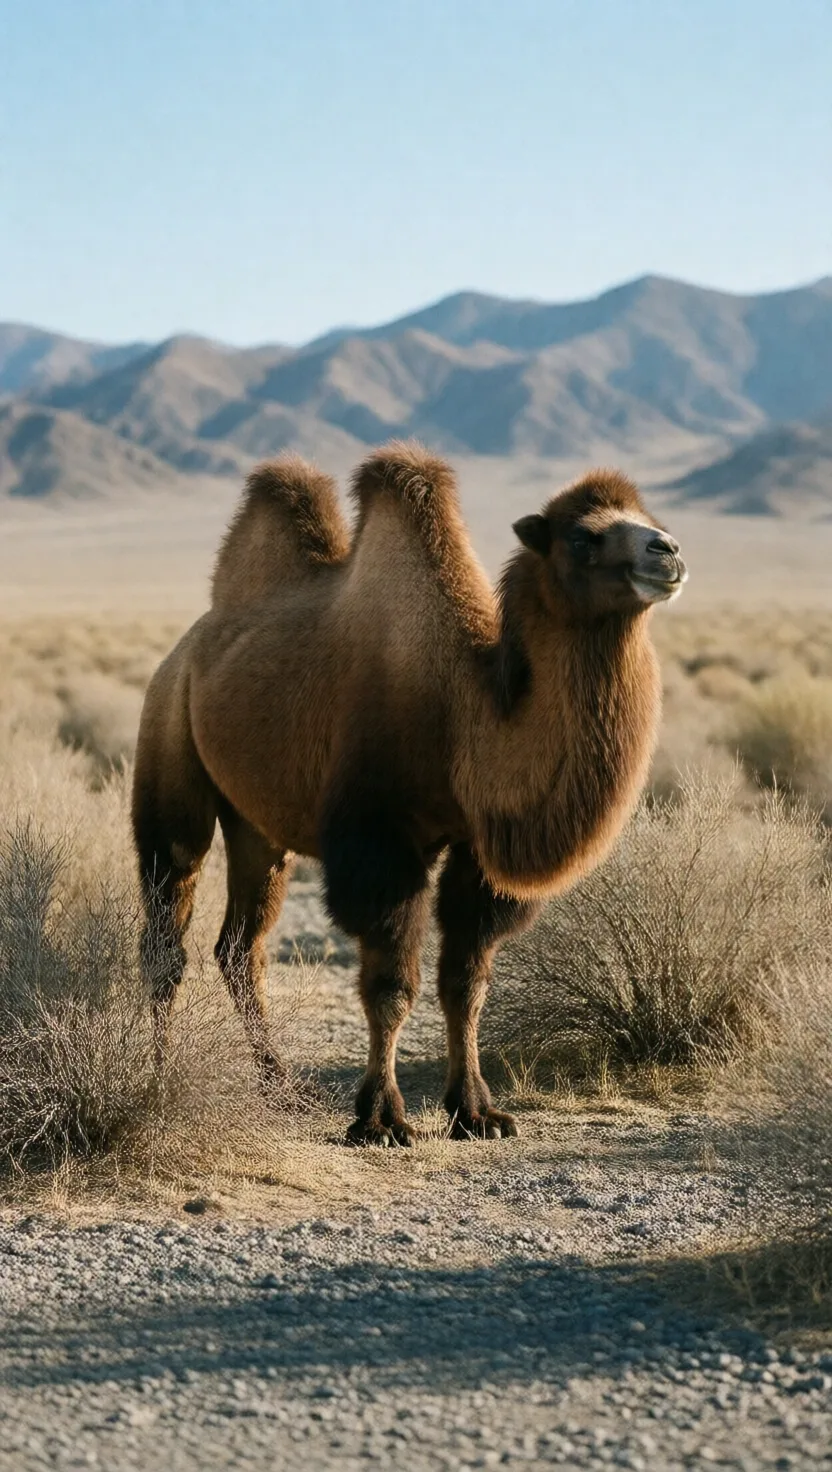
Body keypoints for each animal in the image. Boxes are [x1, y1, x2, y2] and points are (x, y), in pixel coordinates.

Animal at [132, 442, 687, 1144]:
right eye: (584, 537)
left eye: (650, 519)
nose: (668, 551)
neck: (461, 710)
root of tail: (185, 650)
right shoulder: (381, 844)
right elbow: (391, 985)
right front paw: (380, 1118)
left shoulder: (477, 854)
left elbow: (466, 982)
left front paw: (476, 1111)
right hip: (168, 746)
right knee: (167, 928)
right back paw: (159, 1080)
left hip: (257, 827)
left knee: (240, 948)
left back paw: (283, 1089)